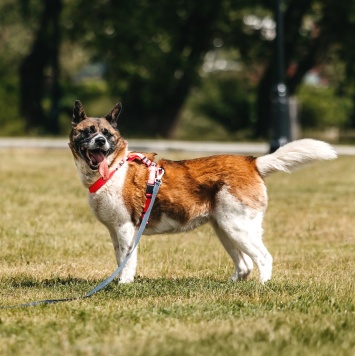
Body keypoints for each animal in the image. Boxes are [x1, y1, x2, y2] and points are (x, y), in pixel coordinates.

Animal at [68, 100, 338, 284]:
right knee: (245, 265)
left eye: (107, 134)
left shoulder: (126, 228)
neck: (115, 166)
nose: (100, 141)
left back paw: (262, 287)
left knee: (263, 258)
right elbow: (119, 259)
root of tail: (253, 162)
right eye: (88, 131)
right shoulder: (115, 231)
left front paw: (124, 284)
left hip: (238, 227)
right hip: (225, 228)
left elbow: (127, 261)